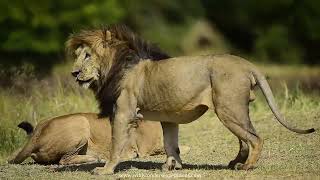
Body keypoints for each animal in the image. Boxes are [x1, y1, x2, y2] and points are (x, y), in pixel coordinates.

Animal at [65, 24, 316, 174]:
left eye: (87, 56)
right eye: (77, 56)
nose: (74, 73)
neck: (118, 66)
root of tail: (247, 63)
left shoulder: (124, 113)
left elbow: (116, 144)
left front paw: (105, 170)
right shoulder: (168, 118)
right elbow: (170, 143)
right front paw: (173, 165)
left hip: (228, 109)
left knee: (255, 138)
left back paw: (246, 167)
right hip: (232, 110)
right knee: (244, 139)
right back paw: (234, 163)